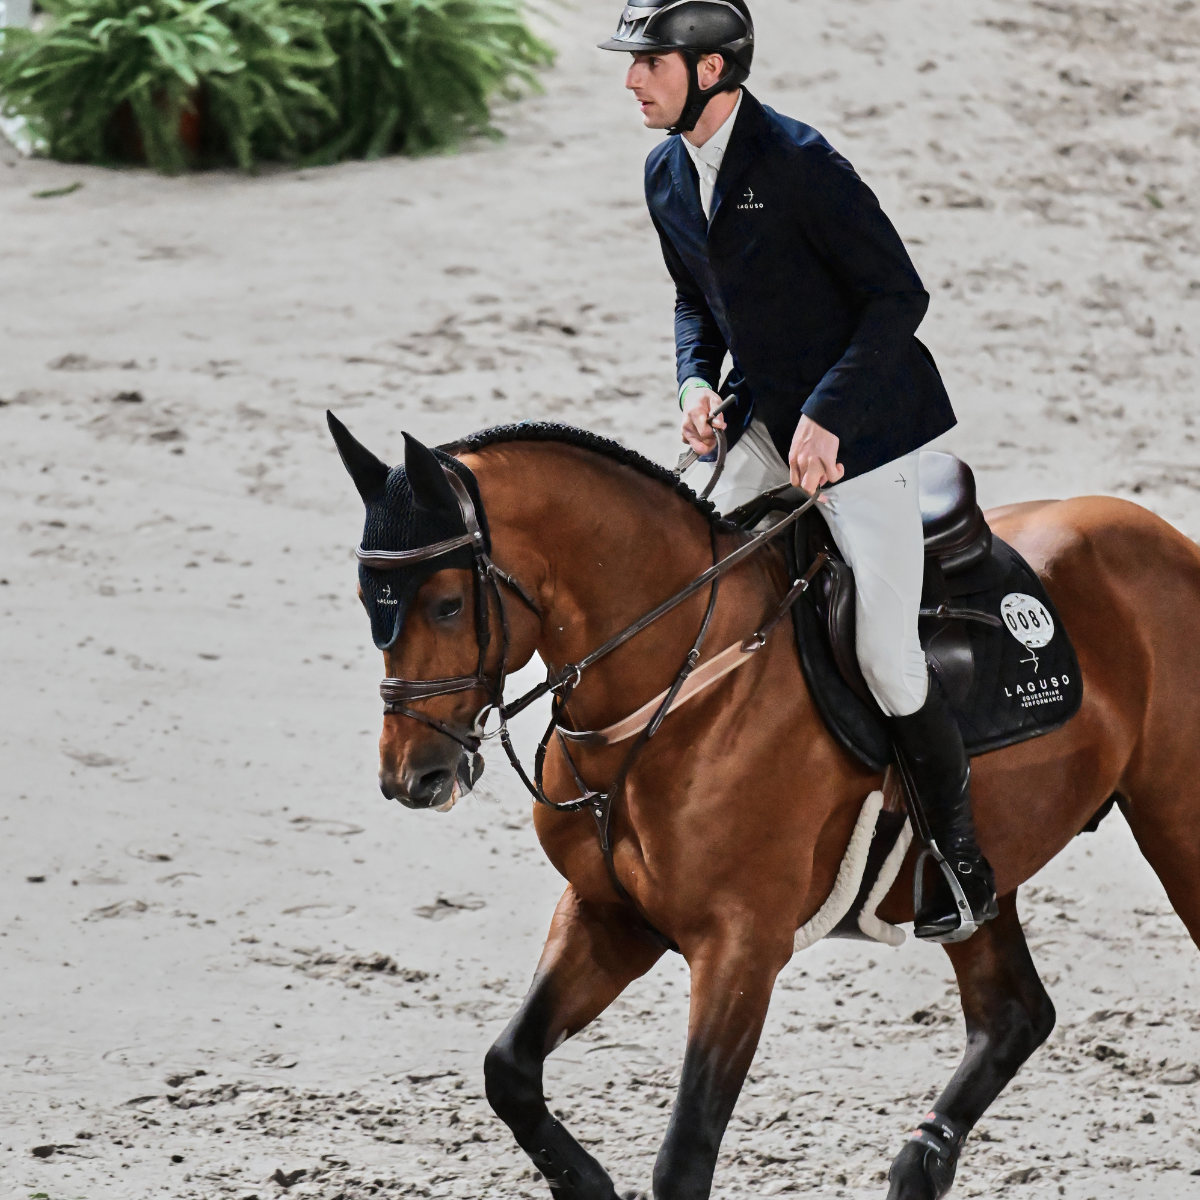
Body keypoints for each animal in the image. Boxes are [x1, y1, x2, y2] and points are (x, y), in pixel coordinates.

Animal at [327, 414, 1200, 1200]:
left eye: (445, 604)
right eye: (368, 599)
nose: (412, 775)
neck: (678, 682)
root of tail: (1166, 540)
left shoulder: (741, 947)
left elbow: (685, 1158)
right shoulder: (609, 913)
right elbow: (507, 1070)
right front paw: (587, 1183)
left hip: (1177, 828)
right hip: (976, 876)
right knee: (1013, 1014)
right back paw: (918, 1170)